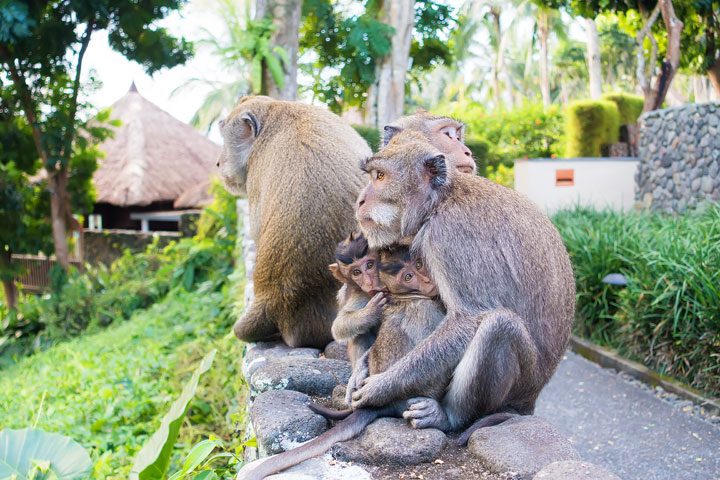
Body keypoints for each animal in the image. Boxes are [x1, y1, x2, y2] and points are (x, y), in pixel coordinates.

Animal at [330, 232, 388, 368]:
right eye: (356, 272)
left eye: (370, 265)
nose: (369, 283)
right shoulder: (360, 294)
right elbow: (339, 325)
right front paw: (372, 312)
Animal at [352, 130, 576, 442]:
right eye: (372, 175)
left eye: (380, 177)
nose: (361, 200)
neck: (440, 201)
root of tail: (530, 400)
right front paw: (361, 369)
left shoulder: (448, 237)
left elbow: (467, 319)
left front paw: (379, 387)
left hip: (522, 383)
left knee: (499, 326)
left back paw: (448, 416)